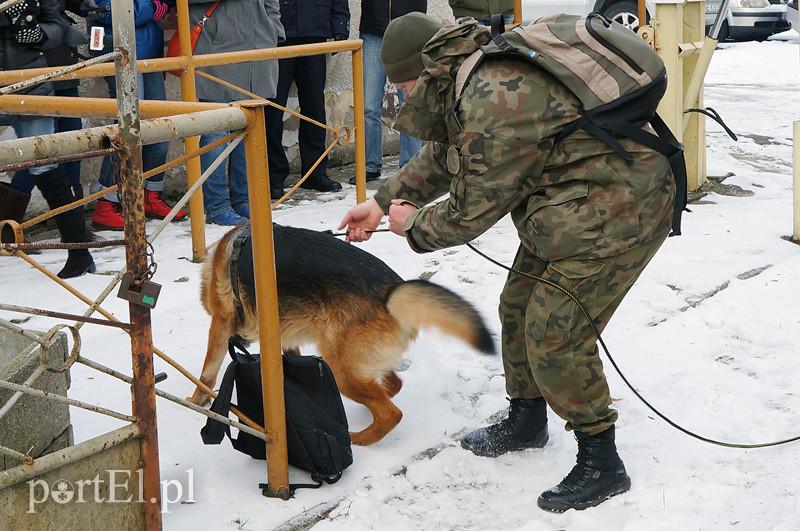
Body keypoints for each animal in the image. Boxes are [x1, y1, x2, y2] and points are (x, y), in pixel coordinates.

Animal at [188, 222, 496, 446]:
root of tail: (390, 291)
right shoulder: (285, 338)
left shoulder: (221, 322)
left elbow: (208, 370)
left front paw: (196, 400)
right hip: (356, 361)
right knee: (393, 385)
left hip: (341, 367)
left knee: (391, 413)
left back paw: (359, 438)